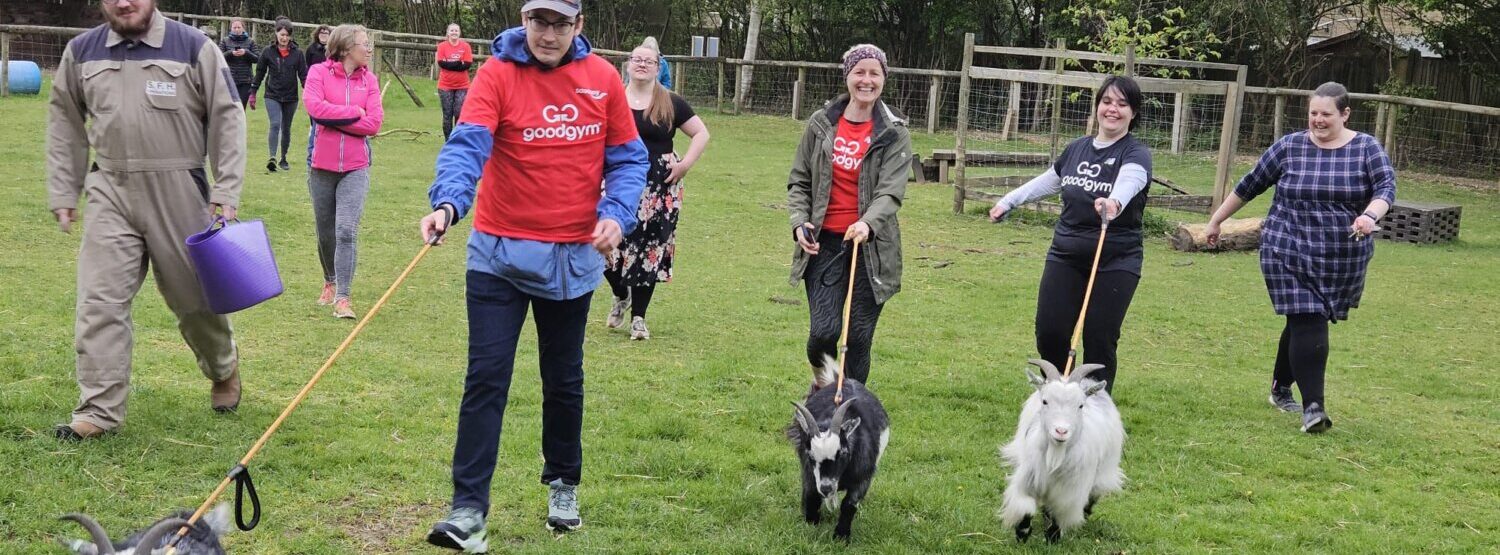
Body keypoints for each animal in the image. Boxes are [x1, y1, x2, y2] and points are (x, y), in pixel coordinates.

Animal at [786, 357, 888, 540]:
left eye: (843, 453)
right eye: (811, 456)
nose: (826, 488)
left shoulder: (863, 478)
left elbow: (849, 504)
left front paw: (841, 536)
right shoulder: (809, 473)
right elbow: (811, 494)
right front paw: (811, 523)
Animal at [996, 357, 1128, 543]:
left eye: (1080, 405)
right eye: (1045, 401)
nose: (1061, 431)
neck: (1055, 455)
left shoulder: (1070, 491)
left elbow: (1060, 512)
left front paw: (1052, 537)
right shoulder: (1028, 478)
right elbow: (1025, 506)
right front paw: (1022, 533)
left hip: (1105, 468)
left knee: (1095, 491)